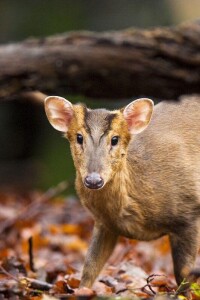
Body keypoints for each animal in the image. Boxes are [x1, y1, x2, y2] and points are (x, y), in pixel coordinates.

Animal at [45, 96, 200, 288]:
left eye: (115, 139)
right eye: (79, 137)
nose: (94, 180)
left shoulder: (188, 212)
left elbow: (184, 276)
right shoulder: (104, 223)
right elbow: (89, 268)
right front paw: (81, 290)